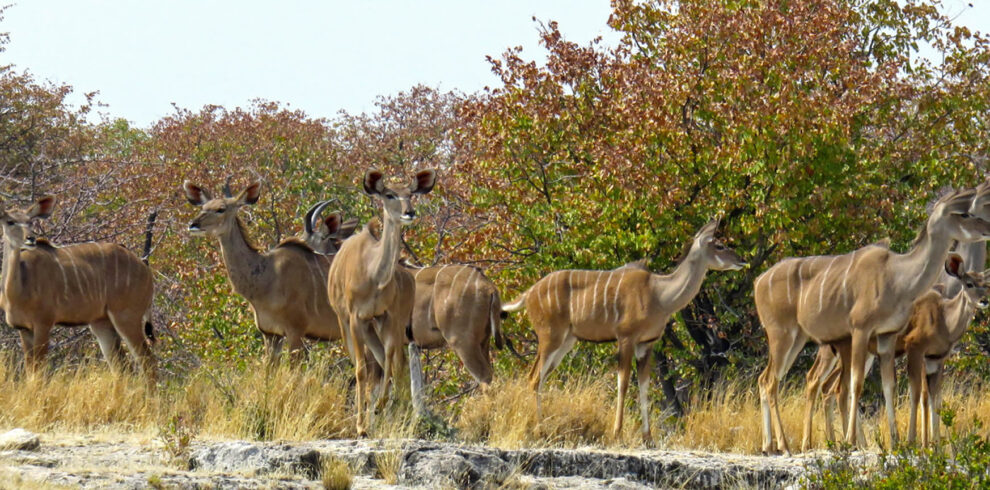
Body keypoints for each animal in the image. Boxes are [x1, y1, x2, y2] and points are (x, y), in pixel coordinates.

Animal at [0, 196, 156, 378]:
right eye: (10, 221)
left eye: (30, 221)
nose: (30, 239)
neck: (16, 292)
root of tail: (145, 267)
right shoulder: (24, 329)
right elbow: (30, 372)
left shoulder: (43, 323)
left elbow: (38, 372)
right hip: (101, 322)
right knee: (122, 367)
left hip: (127, 316)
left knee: (147, 361)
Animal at [186, 180, 356, 360]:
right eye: (203, 207)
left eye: (221, 209)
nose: (193, 225)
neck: (266, 277)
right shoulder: (270, 334)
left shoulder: (295, 331)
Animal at [328, 169, 436, 436]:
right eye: (389, 195)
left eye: (411, 194)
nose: (409, 212)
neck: (373, 276)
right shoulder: (355, 317)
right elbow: (361, 368)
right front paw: (361, 426)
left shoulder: (387, 316)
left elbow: (387, 360)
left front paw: (379, 407)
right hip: (348, 322)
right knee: (368, 364)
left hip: (383, 324)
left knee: (392, 362)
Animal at [504, 220, 744, 438]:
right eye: (719, 245)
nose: (741, 260)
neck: (660, 294)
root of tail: (529, 293)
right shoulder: (626, 338)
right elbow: (624, 383)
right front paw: (617, 433)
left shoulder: (647, 344)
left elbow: (644, 385)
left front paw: (648, 438)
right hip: (550, 337)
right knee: (534, 377)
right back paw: (539, 429)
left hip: (566, 341)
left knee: (541, 377)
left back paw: (542, 426)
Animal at [752, 189, 990, 456]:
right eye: (964, 213)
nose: (987, 228)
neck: (898, 278)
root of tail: (758, 281)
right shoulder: (862, 331)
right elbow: (857, 385)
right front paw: (851, 441)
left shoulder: (886, 337)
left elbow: (889, 386)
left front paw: (896, 442)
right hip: (783, 335)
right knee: (775, 382)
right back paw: (785, 445)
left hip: (799, 339)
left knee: (768, 379)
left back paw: (770, 446)